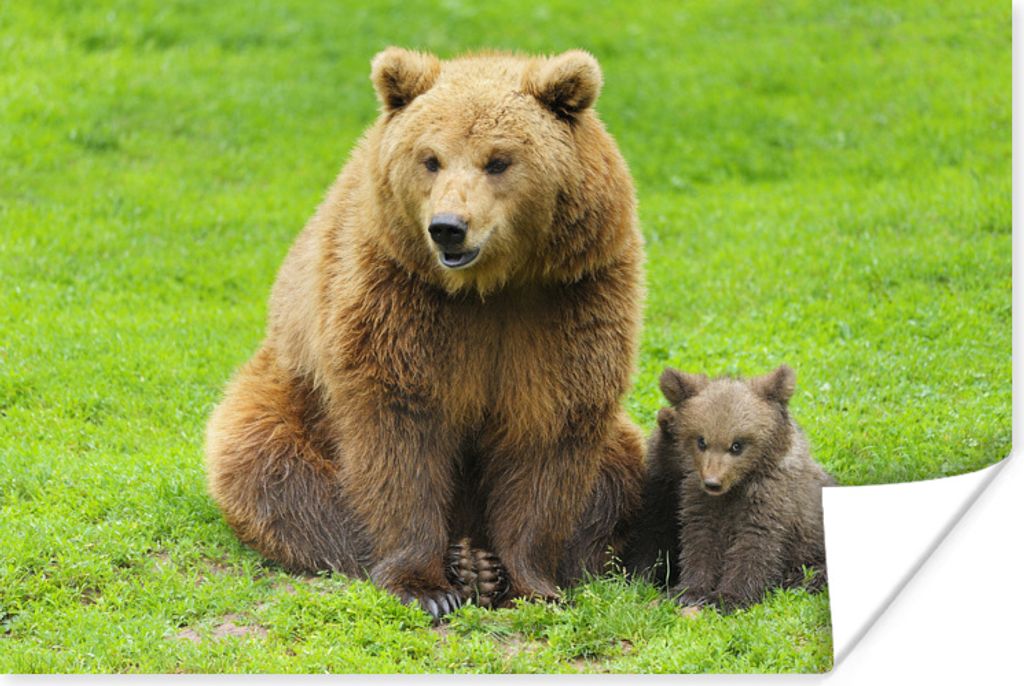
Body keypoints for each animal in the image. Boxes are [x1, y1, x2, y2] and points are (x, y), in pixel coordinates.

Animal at [204, 47, 646, 620]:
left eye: (498, 160)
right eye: (430, 158)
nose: (448, 227)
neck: (489, 287)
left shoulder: (569, 300)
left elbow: (549, 432)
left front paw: (532, 585)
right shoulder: (399, 293)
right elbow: (400, 430)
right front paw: (426, 587)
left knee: (618, 475)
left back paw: (482, 563)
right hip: (287, 394)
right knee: (267, 466)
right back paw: (455, 560)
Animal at [625, 365, 834, 611]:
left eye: (737, 445)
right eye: (701, 441)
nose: (713, 482)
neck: (737, 487)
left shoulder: (771, 502)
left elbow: (754, 546)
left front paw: (728, 597)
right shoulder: (698, 502)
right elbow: (699, 542)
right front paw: (688, 591)